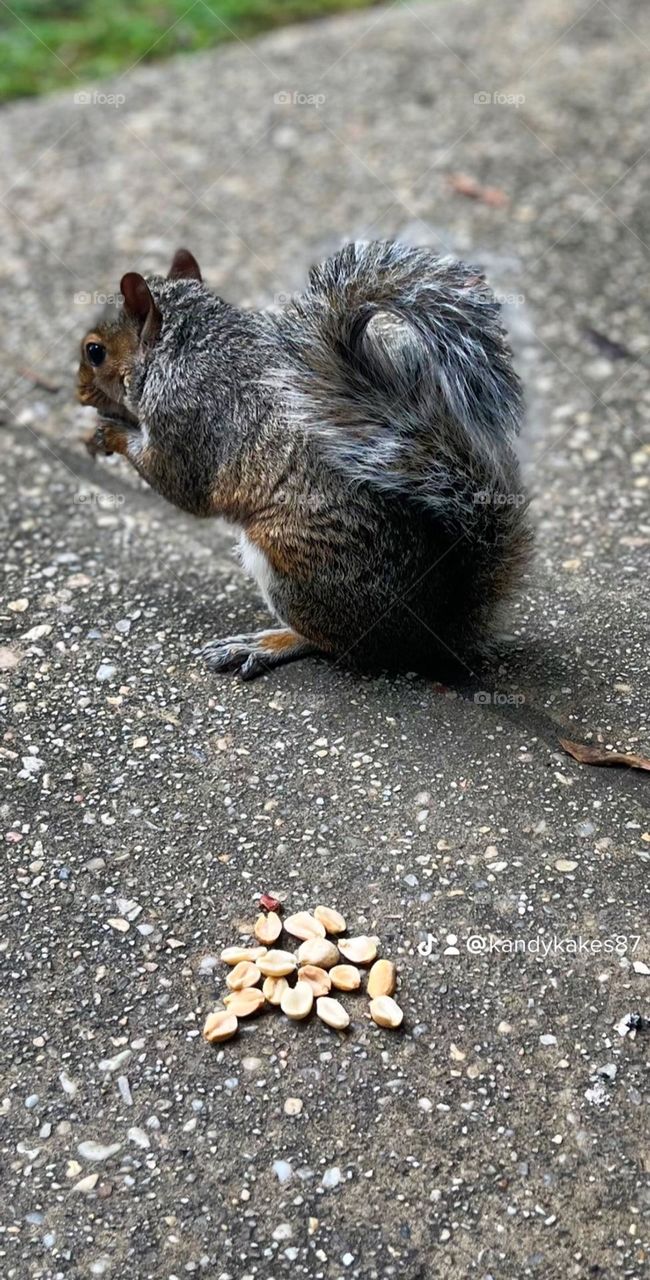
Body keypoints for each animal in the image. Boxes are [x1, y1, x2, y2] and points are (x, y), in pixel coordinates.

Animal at [77, 241, 531, 680]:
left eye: (95, 352)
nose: (79, 391)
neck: (185, 347)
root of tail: (432, 633)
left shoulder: (187, 419)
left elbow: (181, 486)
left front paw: (111, 433)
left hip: (287, 560)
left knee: (335, 644)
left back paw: (265, 644)